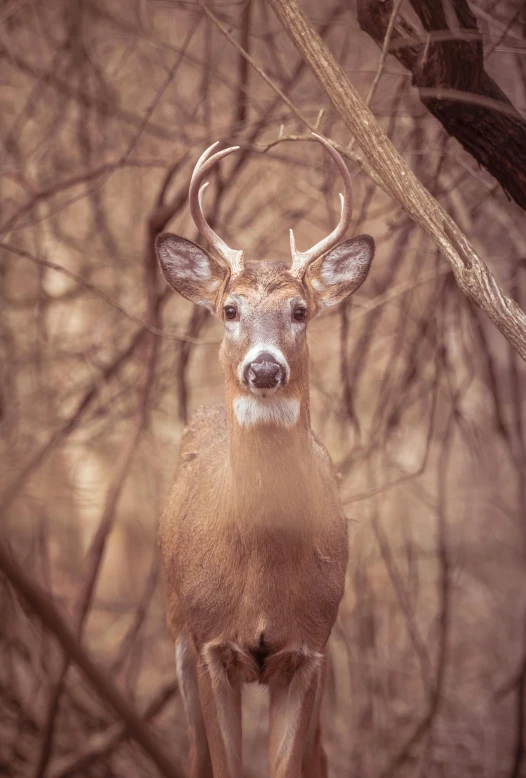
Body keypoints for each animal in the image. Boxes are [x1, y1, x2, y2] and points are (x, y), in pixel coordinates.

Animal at [155, 133, 378, 776]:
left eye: (300, 311)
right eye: (230, 309)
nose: (263, 368)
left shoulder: (309, 650)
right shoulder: (209, 644)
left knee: (321, 756)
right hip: (176, 632)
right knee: (194, 753)